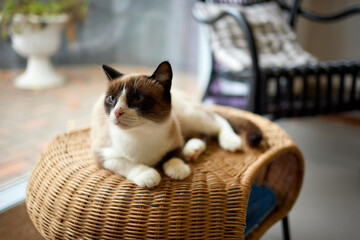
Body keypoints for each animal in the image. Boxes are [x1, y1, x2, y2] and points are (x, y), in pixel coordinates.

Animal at [90, 61, 262, 188]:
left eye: (138, 98)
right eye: (112, 99)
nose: (117, 112)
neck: (141, 134)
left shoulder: (175, 140)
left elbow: (172, 155)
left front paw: (178, 170)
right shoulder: (103, 155)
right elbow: (127, 164)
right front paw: (149, 175)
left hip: (190, 117)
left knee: (218, 121)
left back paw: (230, 142)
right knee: (204, 135)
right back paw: (192, 150)